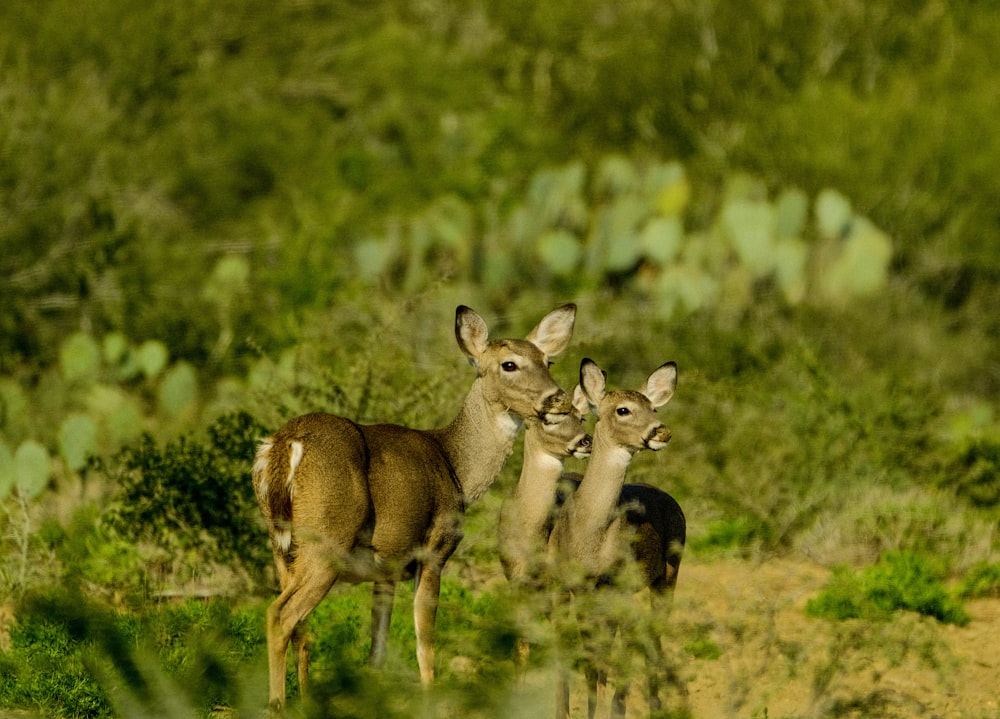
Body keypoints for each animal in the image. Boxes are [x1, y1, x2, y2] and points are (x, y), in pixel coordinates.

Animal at [252, 304, 580, 716]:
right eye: (509, 364)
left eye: (547, 360)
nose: (558, 398)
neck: (455, 466)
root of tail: (283, 446)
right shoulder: (434, 550)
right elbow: (425, 639)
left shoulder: (386, 569)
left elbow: (377, 648)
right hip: (326, 539)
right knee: (280, 615)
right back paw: (277, 703)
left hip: (280, 545)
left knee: (299, 625)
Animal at [548, 358, 688, 719]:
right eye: (623, 409)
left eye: (653, 407)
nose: (661, 431)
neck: (591, 537)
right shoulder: (575, 587)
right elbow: (589, 657)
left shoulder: (618, 586)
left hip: (667, 575)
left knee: (650, 637)